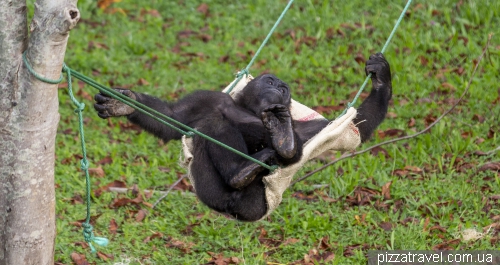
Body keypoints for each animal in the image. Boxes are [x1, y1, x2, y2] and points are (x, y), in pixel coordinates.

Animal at [93, 52, 390, 220]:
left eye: (284, 89)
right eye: (270, 81)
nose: (279, 88)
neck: (249, 109)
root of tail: (232, 212)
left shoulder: (312, 127)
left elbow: (351, 131)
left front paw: (381, 81)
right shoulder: (207, 99)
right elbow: (172, 117)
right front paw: (124, 103)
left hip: (255, 204)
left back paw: (282, 141)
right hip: (214, 194)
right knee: (213, 125)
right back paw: (243, 170)